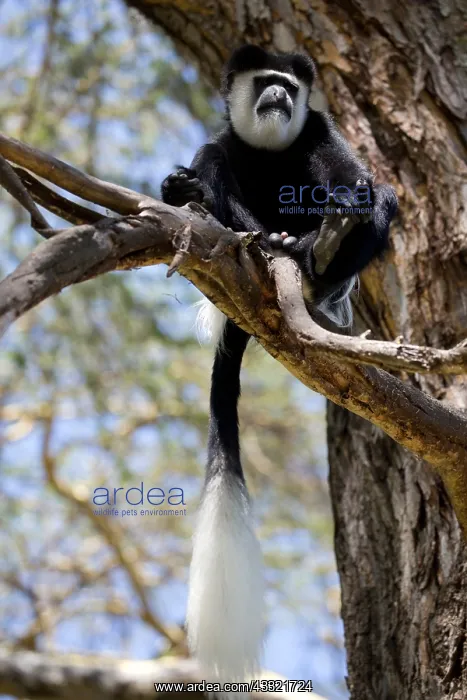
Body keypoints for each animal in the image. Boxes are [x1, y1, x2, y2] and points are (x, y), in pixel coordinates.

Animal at [161, 44, 398, 688]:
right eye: (266, 81)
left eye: (289, 86)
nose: (278, 96)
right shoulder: (223, 140)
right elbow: (212, 162)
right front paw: (188, 191)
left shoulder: (319, 129)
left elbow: (357, 183)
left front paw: (328, 228)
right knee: (215, 176)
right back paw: (261, 236)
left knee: (374, 198)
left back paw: (316, 254)